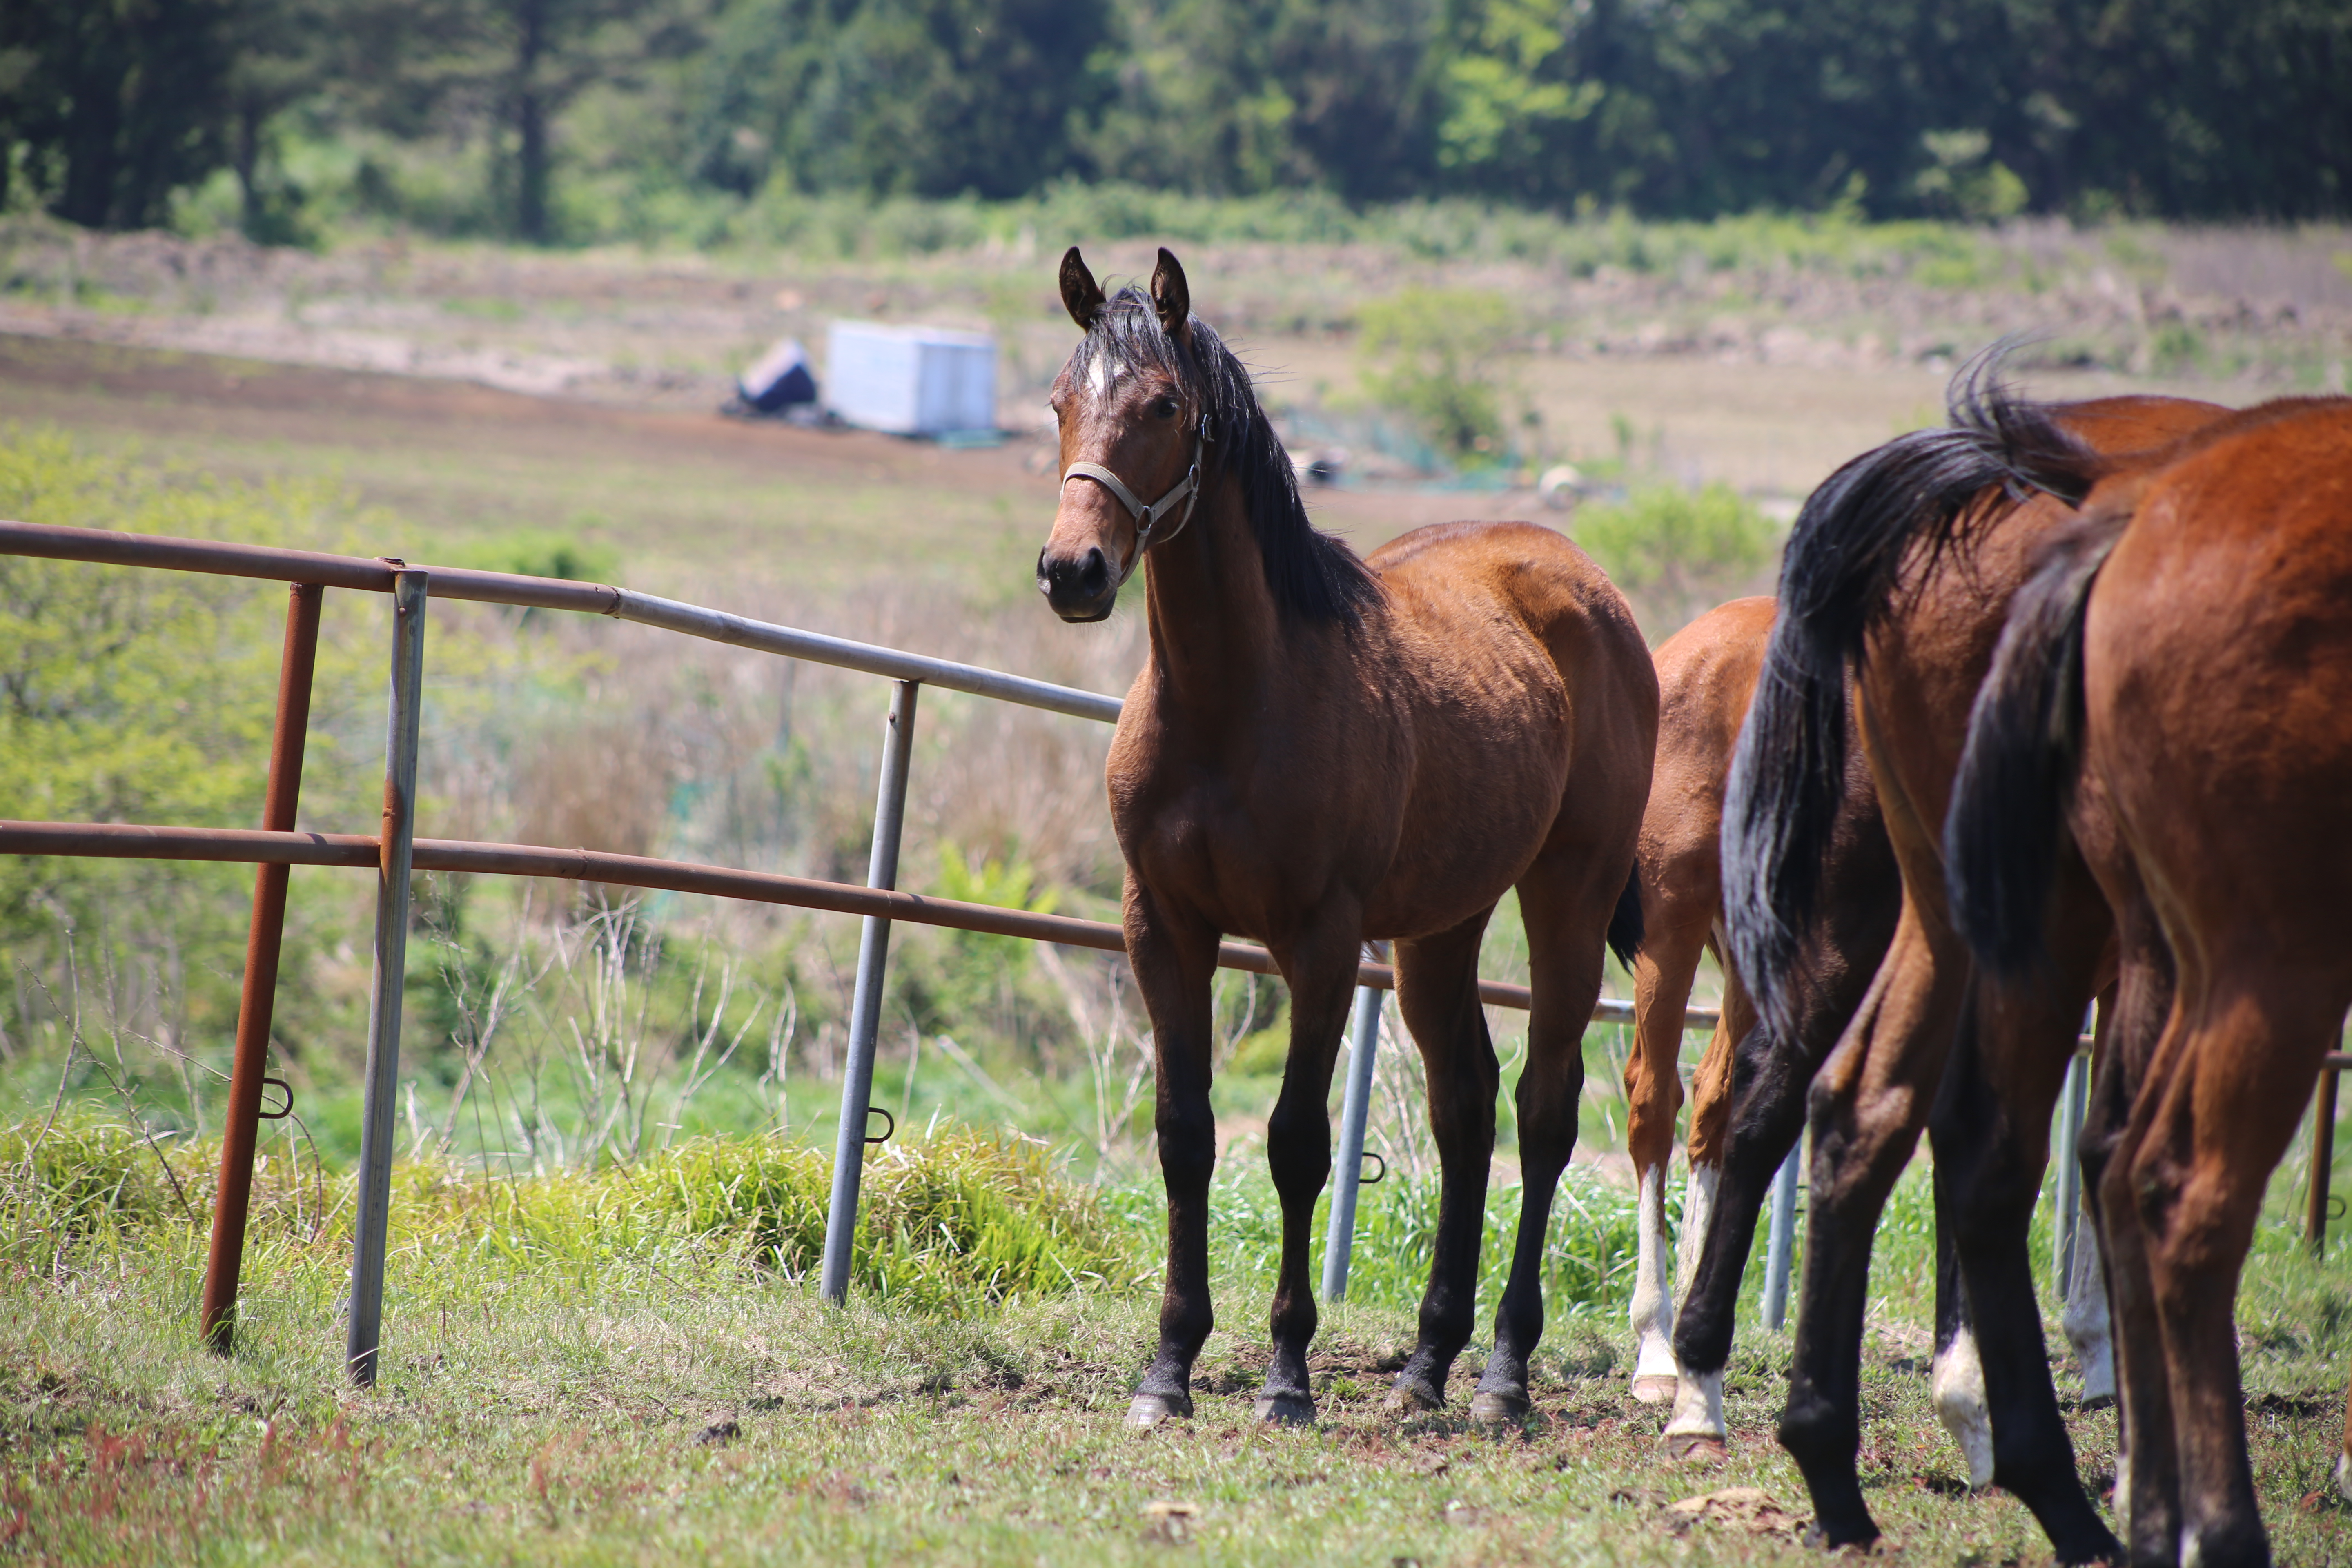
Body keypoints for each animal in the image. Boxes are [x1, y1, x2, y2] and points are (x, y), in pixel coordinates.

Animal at [1039, 248, 1665, 1439]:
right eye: (1059, 402)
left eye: (1164, 406)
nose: (1073, 571)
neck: (1232, 701)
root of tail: (1584, 584)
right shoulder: (1162, 928)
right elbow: (1185, 1135)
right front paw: (1168, 1371)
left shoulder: (1320, 943)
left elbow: (1295, 1142)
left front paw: (1286, 1377)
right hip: (1440, 931)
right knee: (1466, 1104)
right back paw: (1426, 1364)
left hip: (1565, 897)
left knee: (1542, 1110)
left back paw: (1503, 1374)